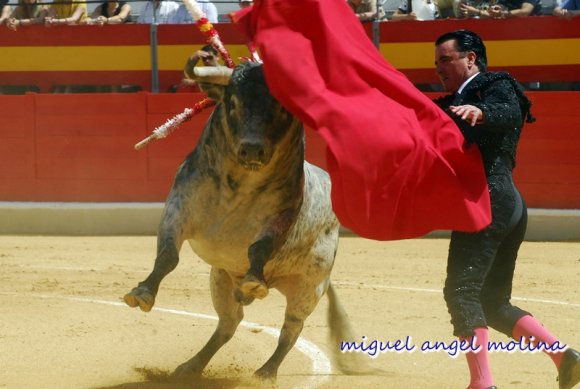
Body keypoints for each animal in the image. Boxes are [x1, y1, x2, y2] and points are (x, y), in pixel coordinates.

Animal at [122, 61, 358, 378]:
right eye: (232, 102)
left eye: (282, 107)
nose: (253, 149)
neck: (240, 185)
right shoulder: (177, 210)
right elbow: (168, 256)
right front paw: (142, 293)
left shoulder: (278, 220)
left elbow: (258, 248)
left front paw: (254, 280)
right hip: (220, 277)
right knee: (229, 323)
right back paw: (190, 367)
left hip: (310, 286)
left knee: (291, 328)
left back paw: (266, 373)